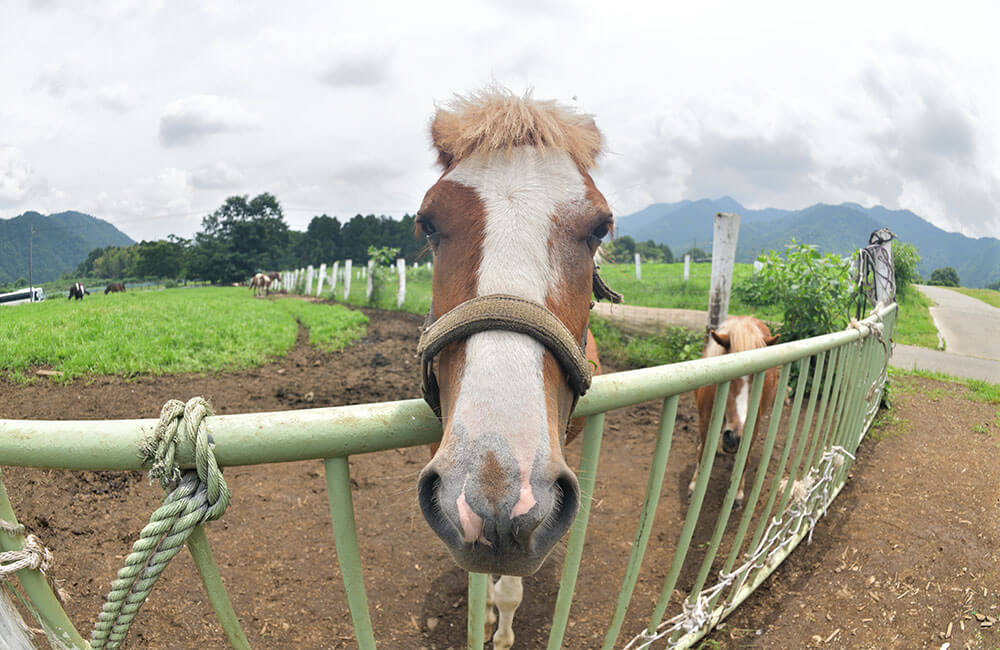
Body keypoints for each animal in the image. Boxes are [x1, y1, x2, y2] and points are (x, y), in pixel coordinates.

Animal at [414, 87, 618, 649]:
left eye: (600, 228)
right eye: (428, 223)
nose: (497, 497)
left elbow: (509, 587)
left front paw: (500, 630)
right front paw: (482, 615)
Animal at [689, 316, 780, 507]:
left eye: (762, 377)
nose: (735, 437)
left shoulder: (754, 427)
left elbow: (744, 460)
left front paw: (738, 492)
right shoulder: (704, 421)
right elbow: (703, 453)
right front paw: (694, 485)